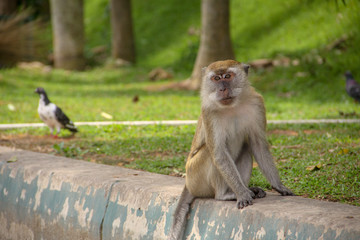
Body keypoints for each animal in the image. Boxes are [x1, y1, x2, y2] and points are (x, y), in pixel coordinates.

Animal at [167, 60, 294, 240]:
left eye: (227, 76)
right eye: (216, 78)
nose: (222, 89)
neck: (232, 106)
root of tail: (188, 184)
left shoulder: (257, 103)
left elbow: (258, 145)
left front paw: (278, 185)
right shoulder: (208, 112)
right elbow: (219, 153)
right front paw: (241, 193)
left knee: (246, 149)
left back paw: (248, 189)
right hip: (195, 177)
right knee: (210, 153)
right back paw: (225, 195)